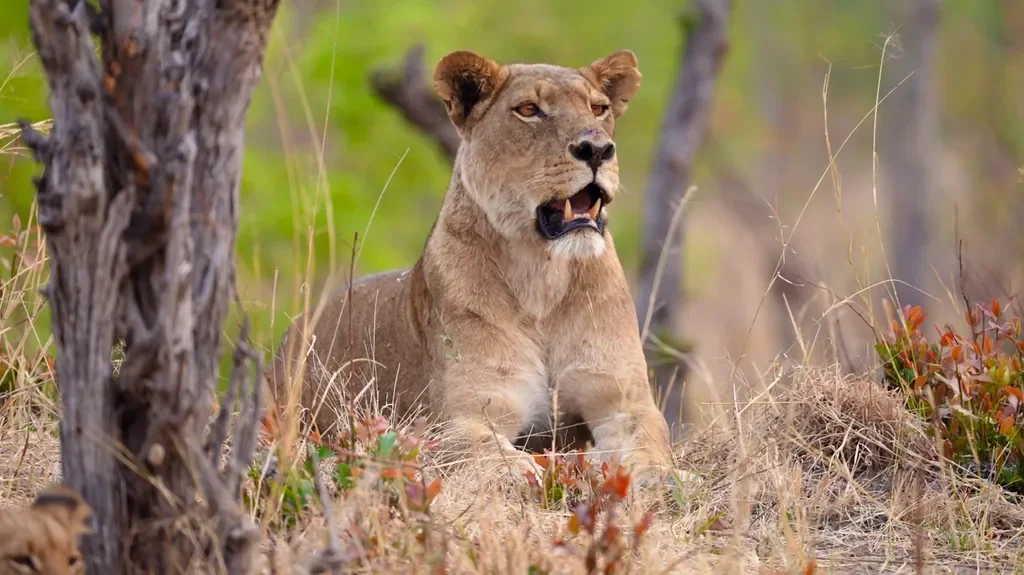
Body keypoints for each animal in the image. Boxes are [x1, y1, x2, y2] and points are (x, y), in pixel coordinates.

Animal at [269, 49, 675, 484]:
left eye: (599, 109)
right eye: (529, 110)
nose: (597, 149)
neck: (543, 277)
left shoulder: (623, 401)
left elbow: (651, 438)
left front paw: (664, 476)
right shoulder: (462, 417)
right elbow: (489, 451)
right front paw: (519, 471)